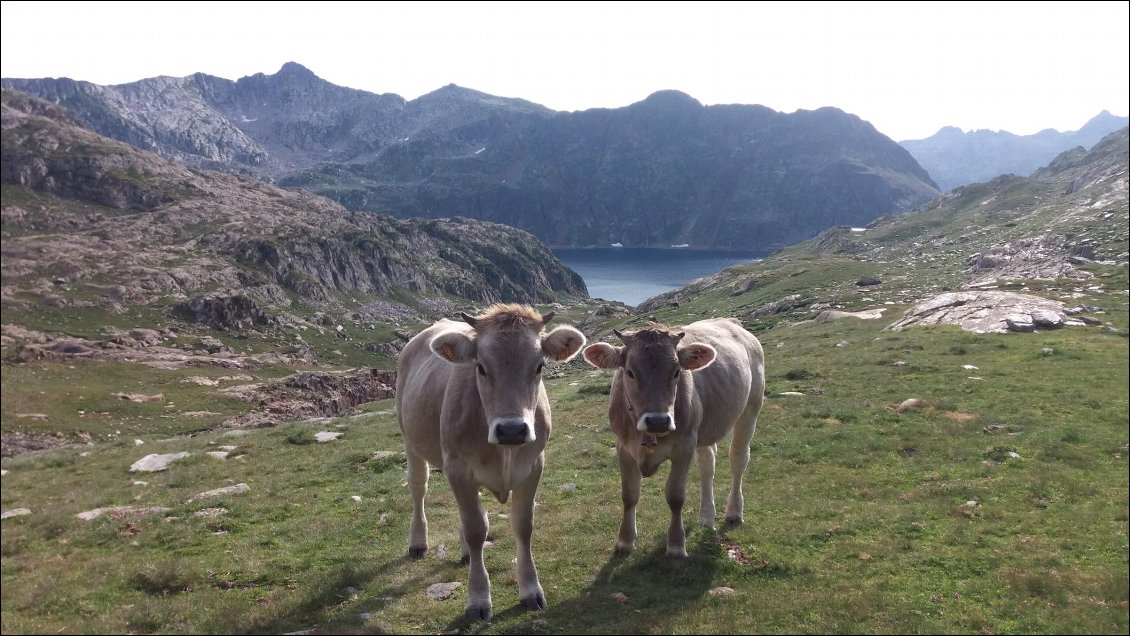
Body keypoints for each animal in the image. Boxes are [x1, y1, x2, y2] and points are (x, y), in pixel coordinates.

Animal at [397, 305, 587, 619]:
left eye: (539, 366)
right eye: (481, 367)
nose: (512, 429)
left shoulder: (533, 465)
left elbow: (523, 525)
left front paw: (530, 590)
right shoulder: (459, 467)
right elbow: (476, 530)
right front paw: (478, 599)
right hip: (410, 439)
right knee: (418, 487)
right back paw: (417, 542)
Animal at [587, 318, 763, 558]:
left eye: (677, 371)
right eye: (630, 372)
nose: (658, 420)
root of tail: (731, 321)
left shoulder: (684, 446)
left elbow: (676, 496)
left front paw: (677, 545)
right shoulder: (623, 447)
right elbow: (629, 495)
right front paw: (625, 541)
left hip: (751, 407)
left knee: (738, 458)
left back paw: (734, 512)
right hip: (704, 428)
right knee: (707, 465)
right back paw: (706, 516)